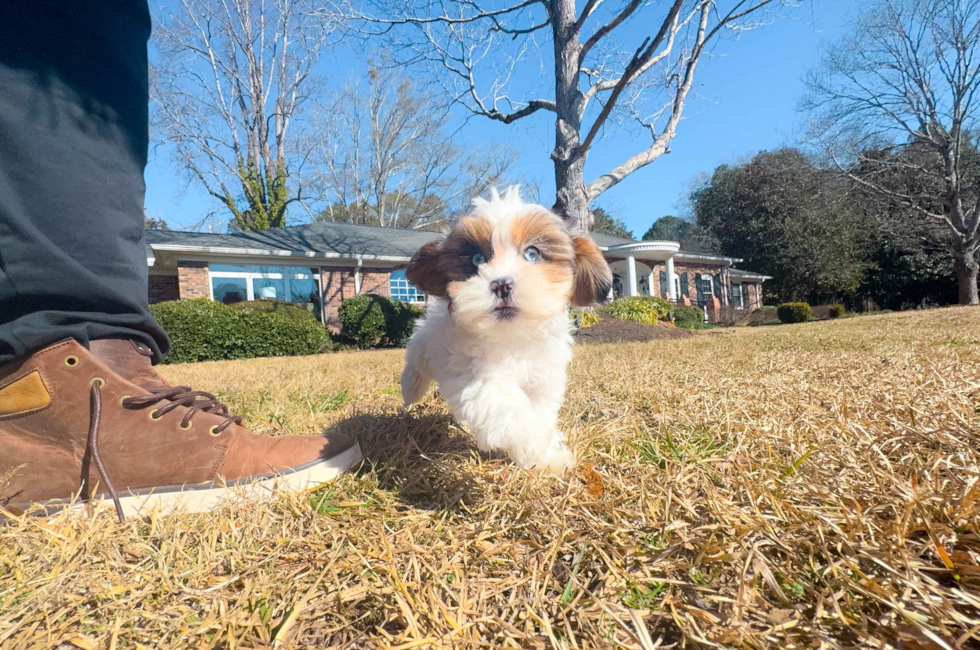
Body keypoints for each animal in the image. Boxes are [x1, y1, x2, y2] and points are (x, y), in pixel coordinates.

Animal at [402, 185, 608, 474]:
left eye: (532, 254)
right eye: (477, 258)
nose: (501, 284)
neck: (512, 335)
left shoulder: (542, 377)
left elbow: (540, 410)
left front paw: (549, 454)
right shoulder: (475, 376)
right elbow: (509, 408)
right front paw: (535, 446)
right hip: (428, 339)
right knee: (417, 357)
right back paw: (410, 387)